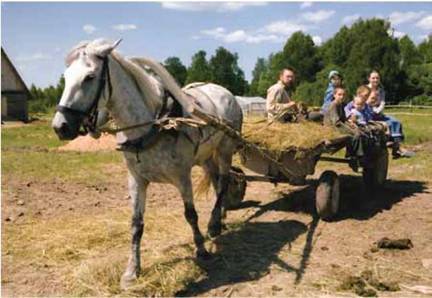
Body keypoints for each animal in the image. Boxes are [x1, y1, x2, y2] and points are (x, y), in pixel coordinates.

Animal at [51, 39, 243, 288]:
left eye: (89, 77)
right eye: (65, 77)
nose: (60, 127)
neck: (154, 124)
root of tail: (226, 93)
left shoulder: (182, 177)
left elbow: (190, 215)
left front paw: (201, 250)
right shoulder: (136, 180)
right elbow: (136, 224)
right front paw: (132, 270)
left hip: (225, 149)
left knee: (224, 181)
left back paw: (214, 223)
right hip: (206, 155)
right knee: (216, 180)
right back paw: (219, 218)